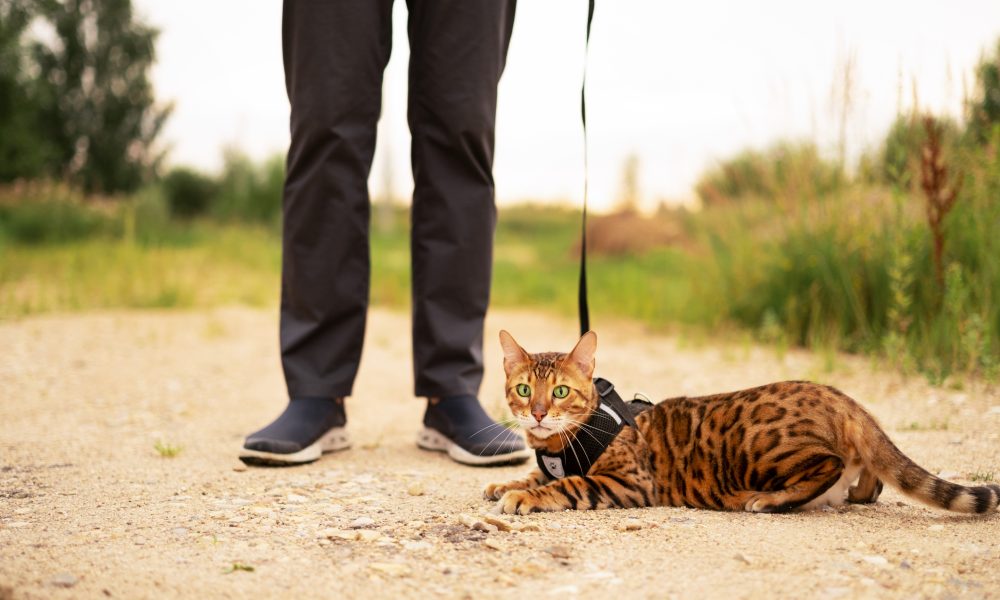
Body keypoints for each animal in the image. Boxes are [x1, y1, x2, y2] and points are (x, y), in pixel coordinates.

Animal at [480, 330, 996, 512]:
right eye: (524, 390)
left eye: (561, 392)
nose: (538, 412)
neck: (558, 447)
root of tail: (841, 397)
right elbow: (534, 474)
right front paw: (507, 483)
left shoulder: (628, 482)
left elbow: (566, 484)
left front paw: (524, 495)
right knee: (872, 476)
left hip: (762, 447)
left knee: (829, 466)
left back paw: (768, 500)